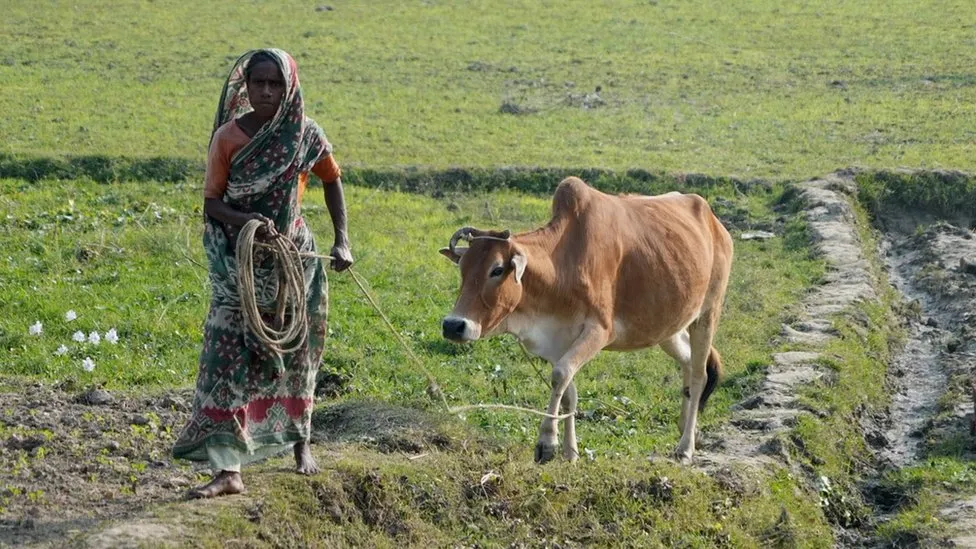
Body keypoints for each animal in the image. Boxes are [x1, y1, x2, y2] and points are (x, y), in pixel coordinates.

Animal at [440, 176, 732, 462]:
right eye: (462, 267)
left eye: (497, 269)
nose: (453, 325)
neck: (561, 266)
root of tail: (715, 223)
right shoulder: (559, 341)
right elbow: (568, 391)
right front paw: (571, 452)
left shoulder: (599, 330)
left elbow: (560, 375)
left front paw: (547, 442)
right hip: (667, 328)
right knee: (688, 362)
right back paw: (686, 428)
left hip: (707, 314)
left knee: (699, 374)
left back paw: (685, 447)